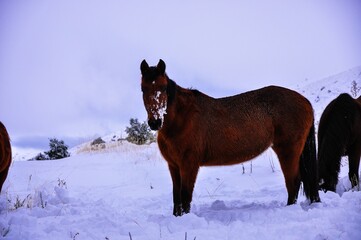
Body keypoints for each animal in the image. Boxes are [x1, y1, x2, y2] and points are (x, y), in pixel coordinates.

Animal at [139, 59, 320, 216]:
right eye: (143, 89)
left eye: (163, 88)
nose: (155, 122)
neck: (183, 118)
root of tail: (305, 101)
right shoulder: (174, 166)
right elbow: (177, 197)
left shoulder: (189, 165)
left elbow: (185, 197)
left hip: (288, 151)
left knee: (293, 182)